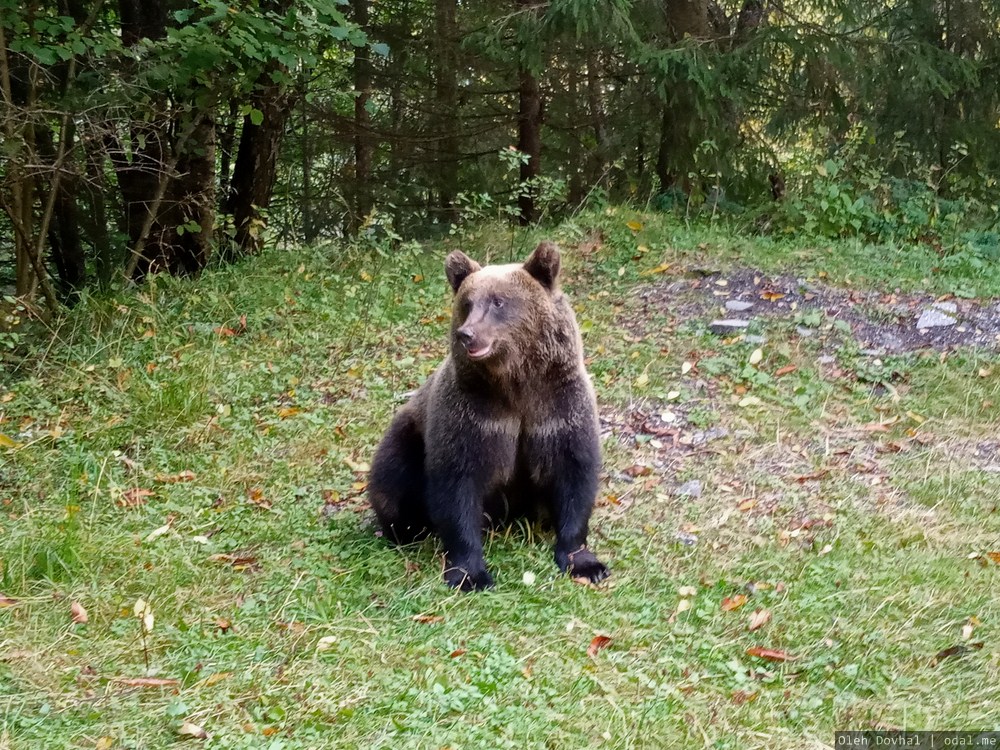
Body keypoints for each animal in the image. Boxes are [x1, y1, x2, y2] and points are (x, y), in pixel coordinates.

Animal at [364, 242, 604, 592]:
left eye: (498, 301)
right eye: (467, 303)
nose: (467, 334)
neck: (515, 383)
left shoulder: (557, 409)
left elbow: (574, 471)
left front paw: (584, 562)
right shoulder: (475, 415)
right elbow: (458, 484)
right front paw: (470, 574)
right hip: (407, 434)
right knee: (393, 479)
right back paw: (405, 528)